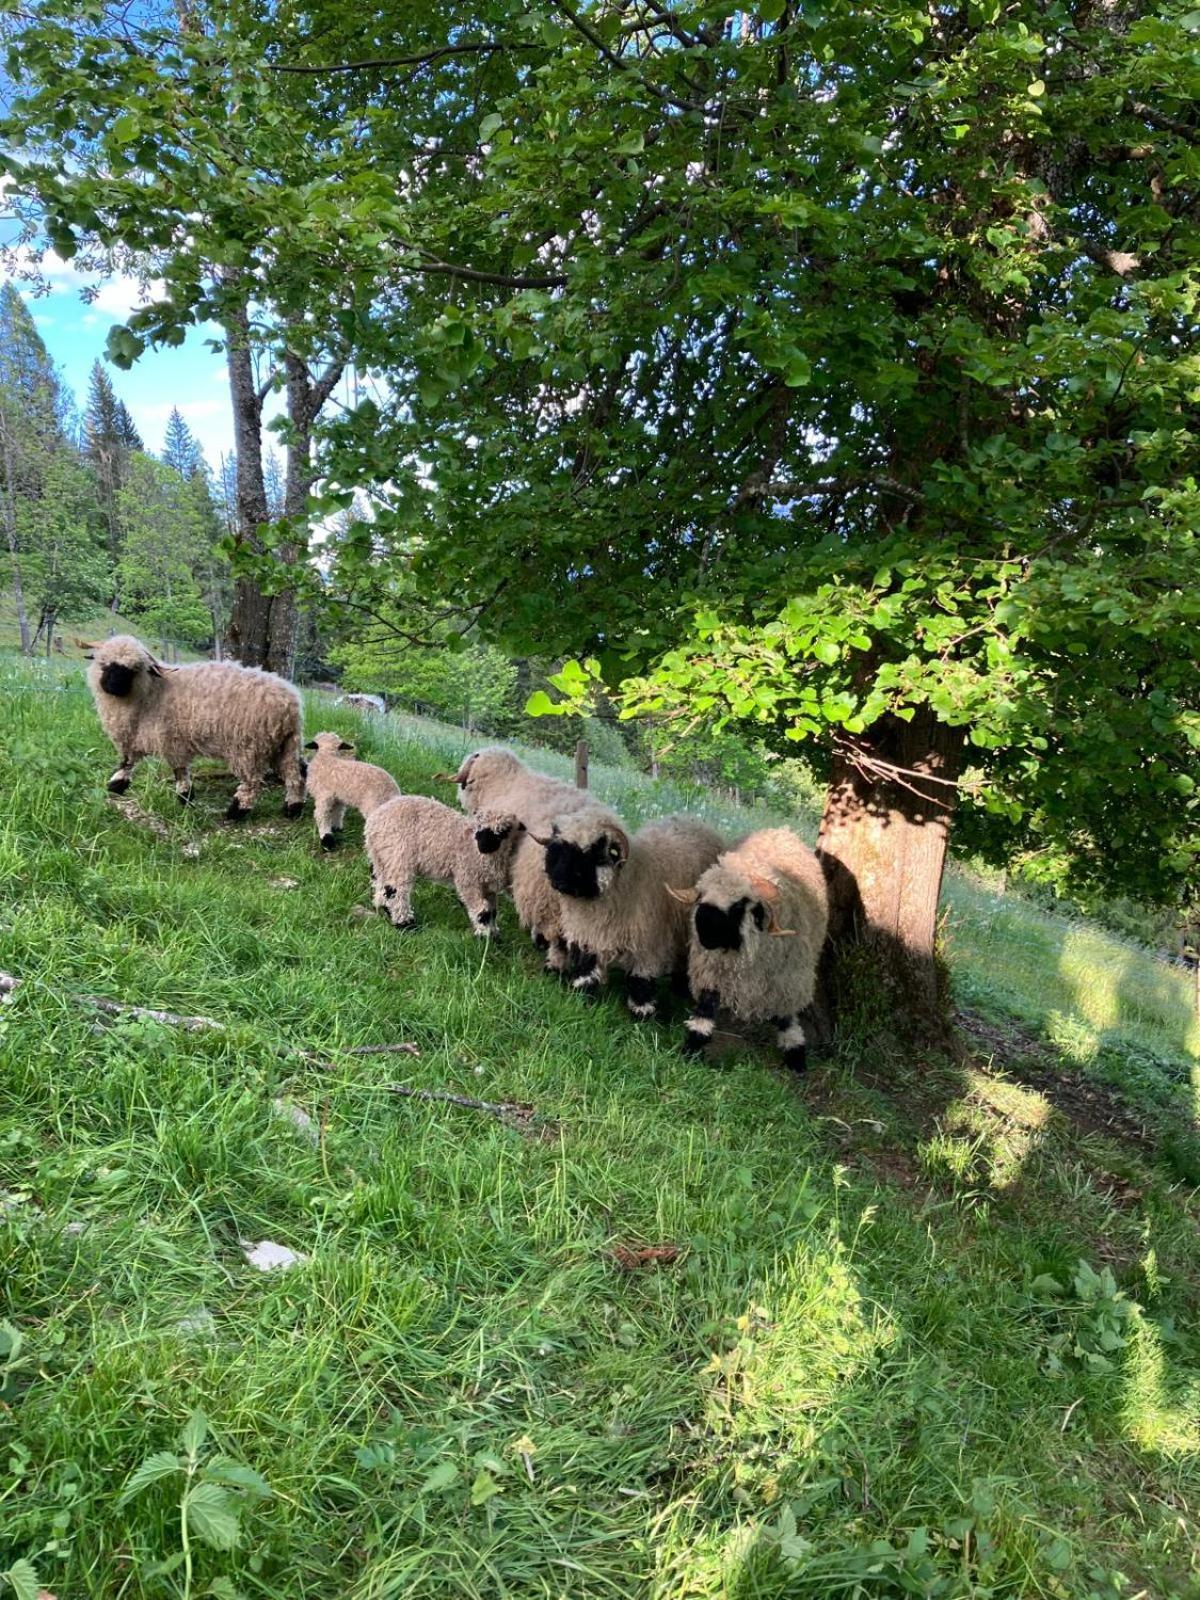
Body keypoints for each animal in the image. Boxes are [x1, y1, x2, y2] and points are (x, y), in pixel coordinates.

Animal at [85, 630, 305, 819]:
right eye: (104, 663)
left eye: (134, 669)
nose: (113, 686)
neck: (150, 692)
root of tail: (291, 704)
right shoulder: (137, 735)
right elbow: (128, 760)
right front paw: (116, 784)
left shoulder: (170, 739)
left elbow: (178, 770)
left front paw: (185, 796)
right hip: (283, 745)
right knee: (296, 774)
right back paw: (292, 808)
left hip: (250, 747)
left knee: (251, 783)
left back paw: (236, 812)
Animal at [361, 796, 521, 934]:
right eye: (480, 828)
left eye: (503, 832)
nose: (483, 846)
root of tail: (374, 822)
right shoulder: (467, 879)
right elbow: (482, 911)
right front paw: (487, 938)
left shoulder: (488, 888)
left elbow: (492, 911)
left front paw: (493, 933)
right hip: (398, 854)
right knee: (395, 891)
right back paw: (406, 925)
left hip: (380, 857)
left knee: (380, 883)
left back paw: (383, 907)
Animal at [534, 806, 723, 1017]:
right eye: (557, 847)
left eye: (591, 852)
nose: (558, 883)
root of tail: (697, 821)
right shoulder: (588, 934)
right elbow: (586, 971)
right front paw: (583, 999)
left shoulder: (647, 944)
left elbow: (640, 981)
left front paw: (642, 1013)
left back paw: (680, 989)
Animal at [672, 825, 832, 1075]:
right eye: (701, 896)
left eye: (739, 905)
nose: (703, 934)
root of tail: (780, 829)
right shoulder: (712, 971)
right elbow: (704, 1013)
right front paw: (691, 1048)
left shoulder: (788, 980)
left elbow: (787, 1019)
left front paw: (796, 1059)